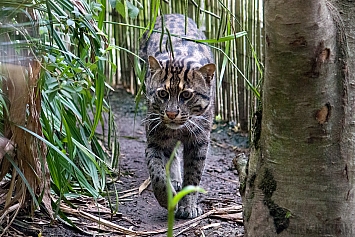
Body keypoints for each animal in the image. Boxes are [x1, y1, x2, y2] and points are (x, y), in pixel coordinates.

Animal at [140, 13, 216, 218]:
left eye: (186, 95)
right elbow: (157, 171)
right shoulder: (155, 139)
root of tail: (173, 13)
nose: (172, 113)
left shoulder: (199, 142)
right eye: (162, 94)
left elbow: (193, 175)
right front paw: (167, 197)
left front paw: (187, 205)